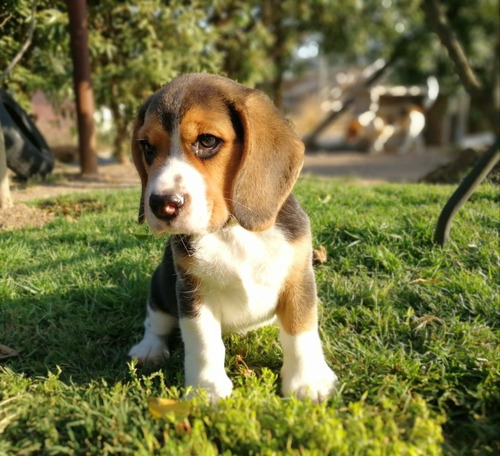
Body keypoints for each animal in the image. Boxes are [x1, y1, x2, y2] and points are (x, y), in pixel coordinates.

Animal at [129, 72, 338, 402]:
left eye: (207, 141)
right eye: (147, 148)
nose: (162, 204)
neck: (231, 230)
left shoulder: (299, 279)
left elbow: (300, 332)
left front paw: (309, 380)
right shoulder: (192, 292)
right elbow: (204, 343)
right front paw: (207, 389)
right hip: (161, 286)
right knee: (155, 321)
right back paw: (149, 348)